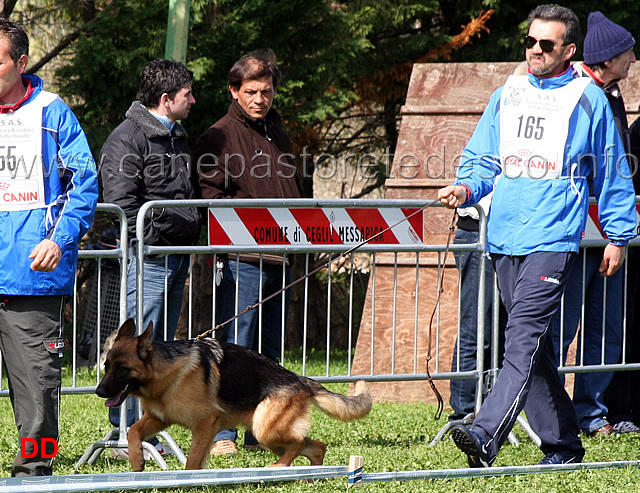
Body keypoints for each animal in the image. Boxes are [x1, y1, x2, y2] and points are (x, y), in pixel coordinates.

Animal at [97, 318, 372, 470]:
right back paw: (307, 478)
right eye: (106, 366)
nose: (99, 391)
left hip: (265, 430)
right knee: (315, 446)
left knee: (298, 444)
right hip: (270, 436)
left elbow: (192, 461)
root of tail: (300, 380)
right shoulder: (159, 418)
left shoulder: (206, 424)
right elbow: (134, 431)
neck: (165, 372)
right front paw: (137, 461)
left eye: (121, 369)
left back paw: (279, 468)